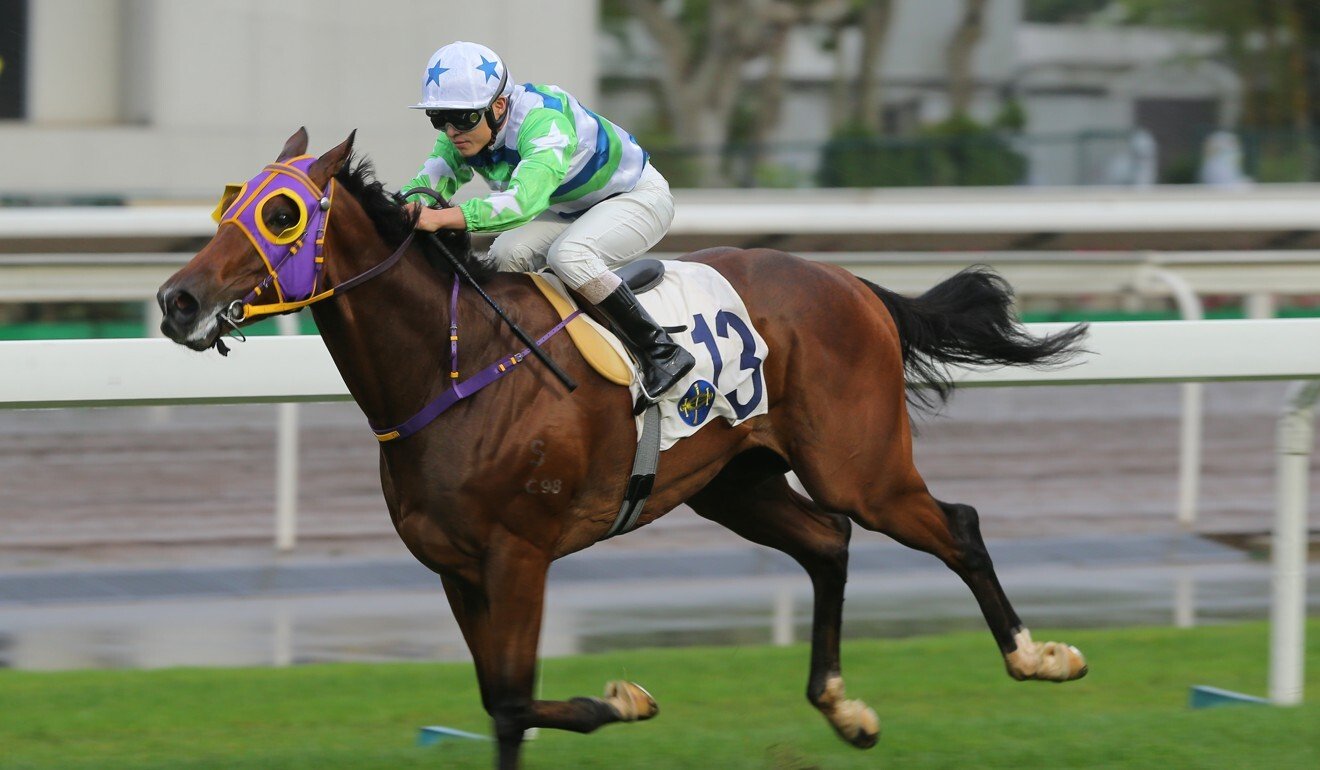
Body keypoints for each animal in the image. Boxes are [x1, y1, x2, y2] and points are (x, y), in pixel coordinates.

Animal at [159, 129, 1087, 766]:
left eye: (281, 214)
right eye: (228, 205)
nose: (176, 300)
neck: (452, 369)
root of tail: (850, 282)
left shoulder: (518, 554)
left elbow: (514, 700)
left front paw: (624, 699)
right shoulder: (456, 567)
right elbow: (498, 700)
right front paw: (618, 700)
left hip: (860, 467)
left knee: (954, 524)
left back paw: (1038, 657)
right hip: (735, 481)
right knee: (828, 542)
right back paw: (843, 709)